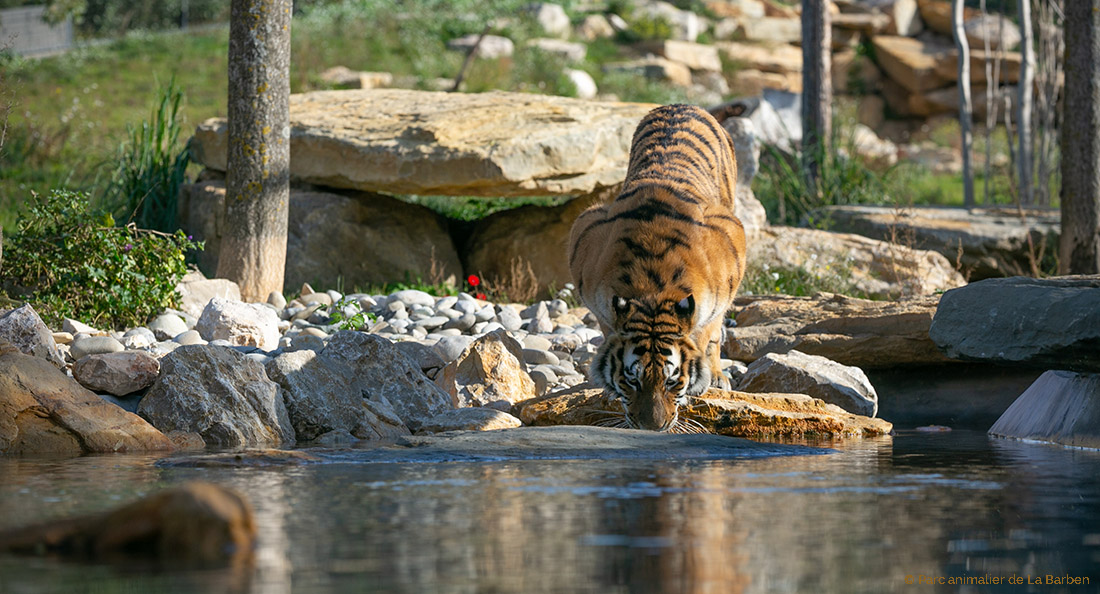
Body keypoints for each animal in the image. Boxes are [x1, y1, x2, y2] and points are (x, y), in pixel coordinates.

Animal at [567, 104, 747, 432]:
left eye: (672, 381)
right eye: (631, 380)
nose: (652, 428)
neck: (653, 288)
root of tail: (682, 104)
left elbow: (706, 334)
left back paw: (717, 375)